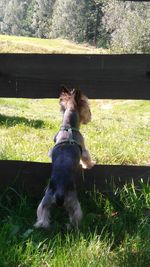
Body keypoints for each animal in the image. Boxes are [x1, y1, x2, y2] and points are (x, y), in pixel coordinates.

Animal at [34, 88, 94, 230]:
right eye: (87, 109)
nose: (90, 117)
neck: (68, 127)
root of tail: (59, 193)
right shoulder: (83, 149)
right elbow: (86, 157)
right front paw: (90, 165)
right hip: (73, 202)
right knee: (75, 216)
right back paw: (73, 226)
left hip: (45, 200)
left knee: (42, 213)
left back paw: (42, 225)